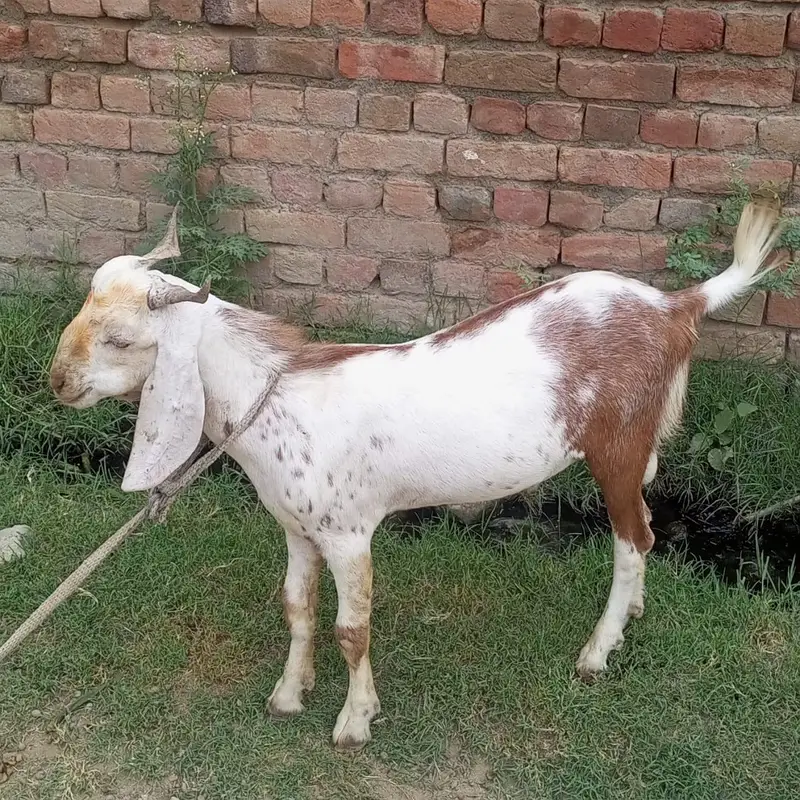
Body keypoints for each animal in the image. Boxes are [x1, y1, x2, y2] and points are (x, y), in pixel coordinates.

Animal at [50, 200, 783, 751]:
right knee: (649, 531)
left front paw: (354, 722)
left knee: (634, 541)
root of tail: (674, 307)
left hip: (619, 445)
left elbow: (351, 631)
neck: (278, 398)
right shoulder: (296, 529)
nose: (56, 382)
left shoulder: (349, 534)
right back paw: (629, 617)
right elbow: (296, 608)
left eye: (120, 339)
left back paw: (597, 652)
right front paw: (289, 694)